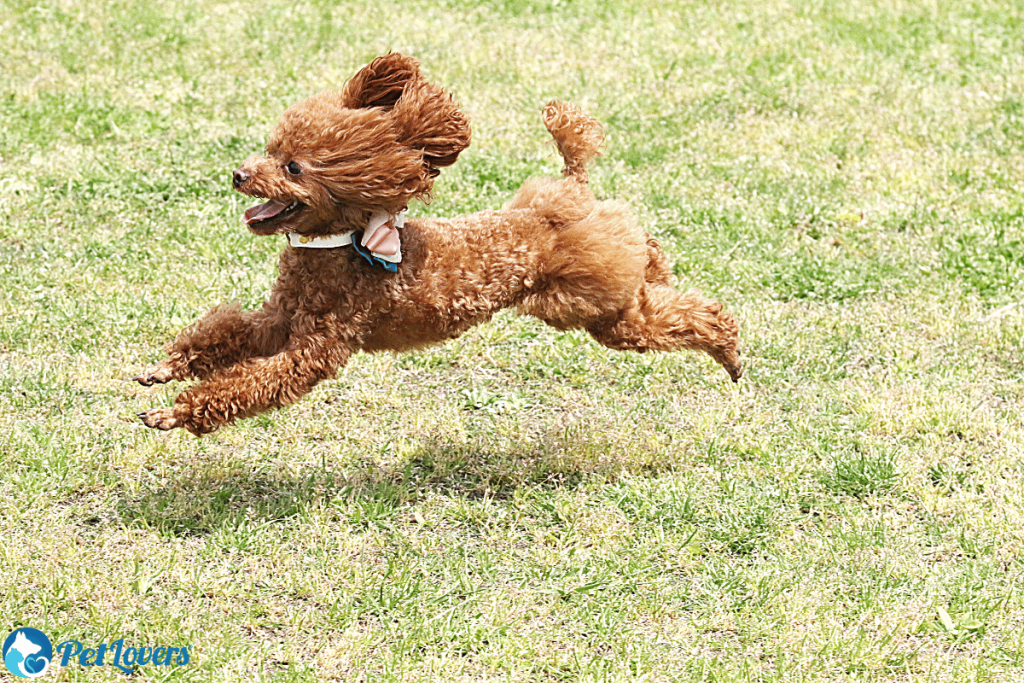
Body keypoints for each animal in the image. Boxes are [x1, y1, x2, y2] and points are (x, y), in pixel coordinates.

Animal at [138, 54, 745, 438]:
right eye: (270, 149)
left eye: (293, 167)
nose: (240, 175)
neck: (343, 242)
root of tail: (569, 191)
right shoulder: (279, 320)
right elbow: (223, 336)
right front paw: (164, 370)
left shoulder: (312, 349)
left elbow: (248, 382)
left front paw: (172, 414)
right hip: (604, 288)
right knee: (654, 268)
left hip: (593, 305)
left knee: (693, 316)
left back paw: (731, 354)